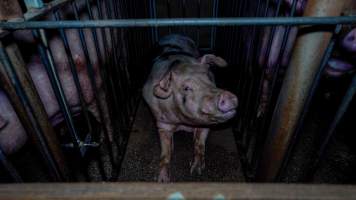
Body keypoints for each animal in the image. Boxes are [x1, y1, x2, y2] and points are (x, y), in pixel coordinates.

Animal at [143, 34, 239, 183]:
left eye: (209, 79)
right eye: (186, 88)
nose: (227, 96)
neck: (183, 122)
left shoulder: (205, 124)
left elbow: (199, 144)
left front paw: (196, 170)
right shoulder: (162, 122)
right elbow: (165, 152)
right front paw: (162, 180)